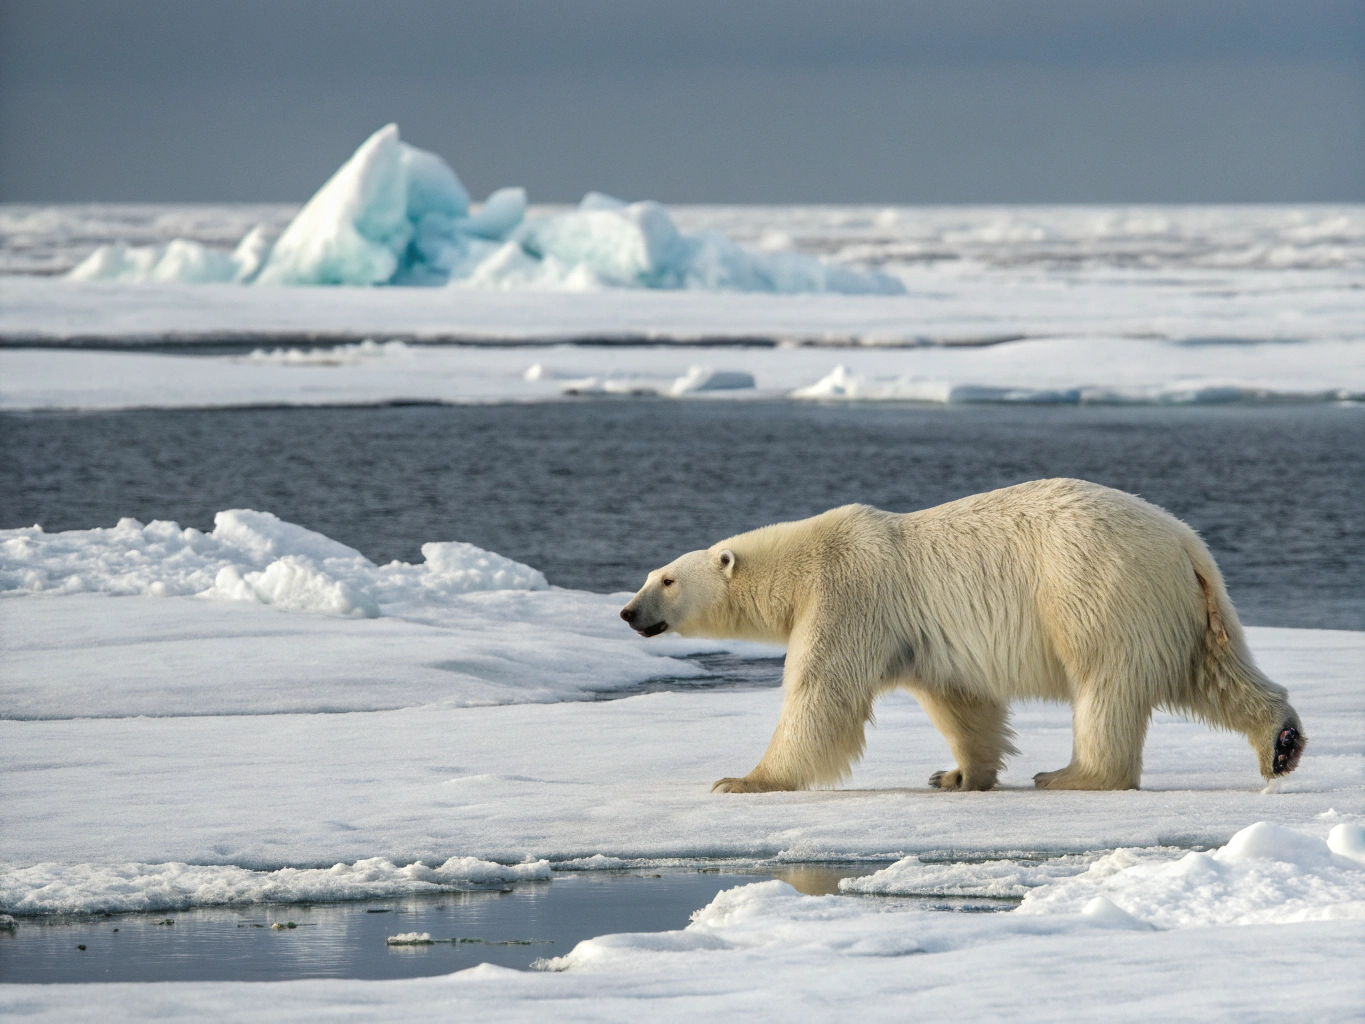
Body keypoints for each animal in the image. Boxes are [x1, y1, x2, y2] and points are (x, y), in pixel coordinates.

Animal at [619, 478, 1305, 793]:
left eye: (667, 579)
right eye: (649, 575)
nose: (628, 612)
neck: (802, 561)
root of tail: (1186, 542)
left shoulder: (848, 595)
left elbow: (821, 694)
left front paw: (743, 780)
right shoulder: (923, 637)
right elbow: (961, 702)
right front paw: (955, 776)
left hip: (1098, 586)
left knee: (1104, 681)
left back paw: (1070, 775)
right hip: (1186, 608)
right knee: (1216, 672)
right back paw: (1280, 743)